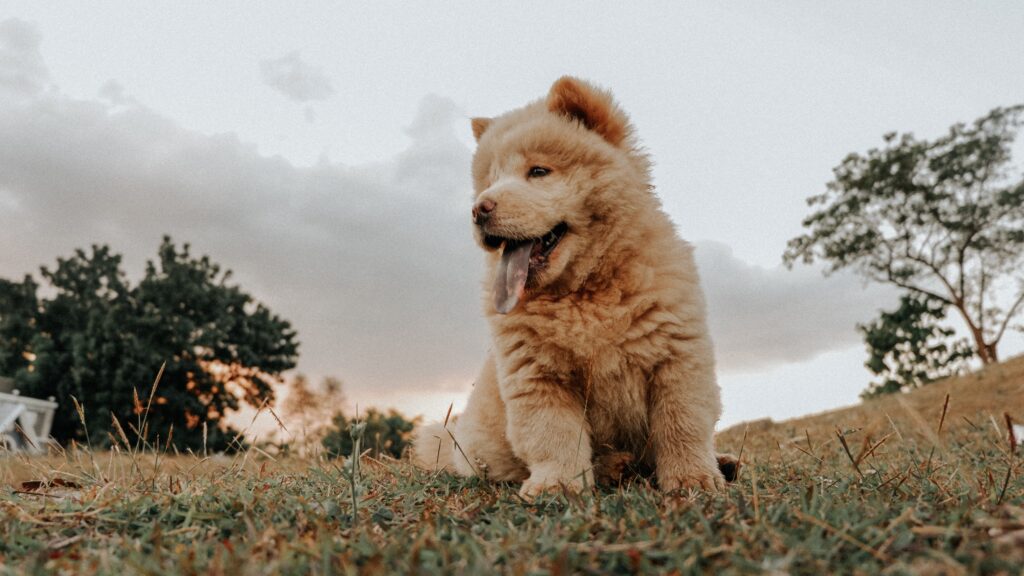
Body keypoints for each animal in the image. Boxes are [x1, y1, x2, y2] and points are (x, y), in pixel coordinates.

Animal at [413, 77, 729, 498]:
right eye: (489, 181)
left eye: (538, 171)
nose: (479, 209)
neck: (584, 291)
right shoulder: (537, 374)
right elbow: (554, 435)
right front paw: (557, 485)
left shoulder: (677, 354)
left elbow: (682, 422)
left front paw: (693, 479)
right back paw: (614, 468)